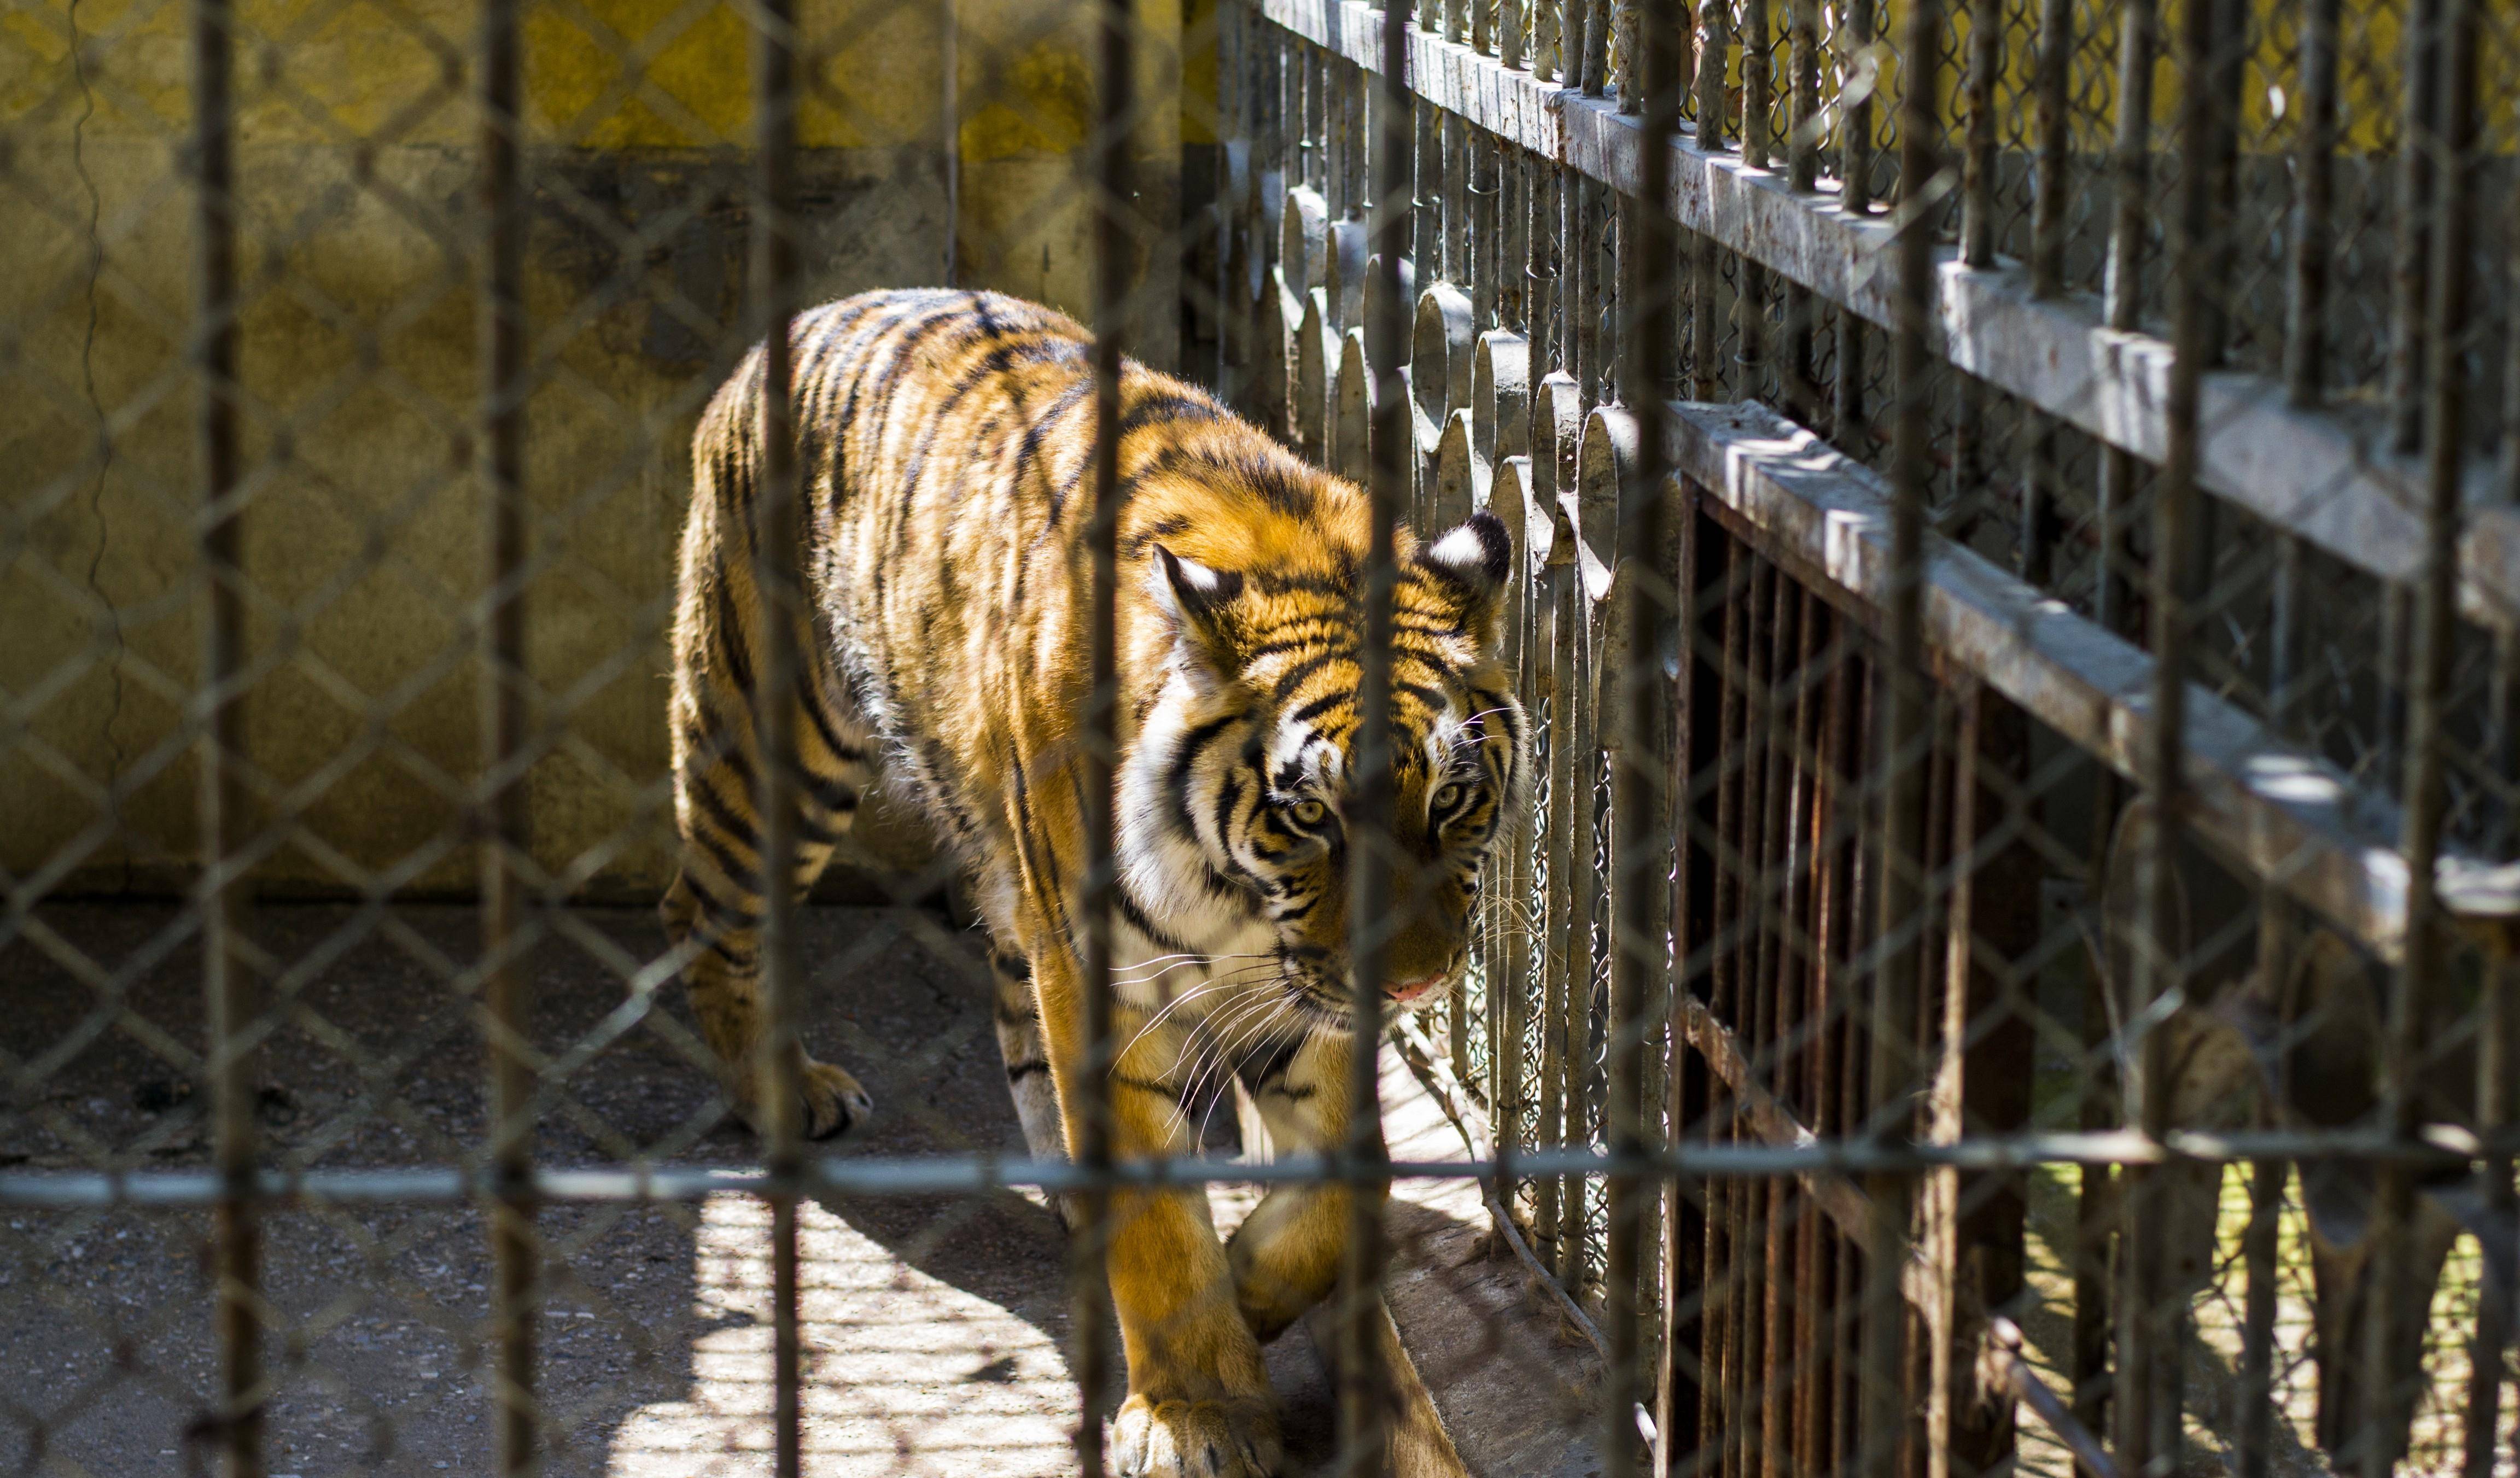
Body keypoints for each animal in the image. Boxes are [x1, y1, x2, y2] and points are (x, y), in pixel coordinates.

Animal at [660, 283, 1522, 1470]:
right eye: (1310, 814)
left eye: (1451, 800)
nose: (1414, 985)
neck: (1237, 899)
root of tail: (803, 318)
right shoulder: (1114, 976)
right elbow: (1157, 1219)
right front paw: (1199, 1413)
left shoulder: (1296, 992)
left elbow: (1341, 1197)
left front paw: (1247, 1292)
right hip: (772, 741)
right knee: (706, 910)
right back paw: (785, 1094)